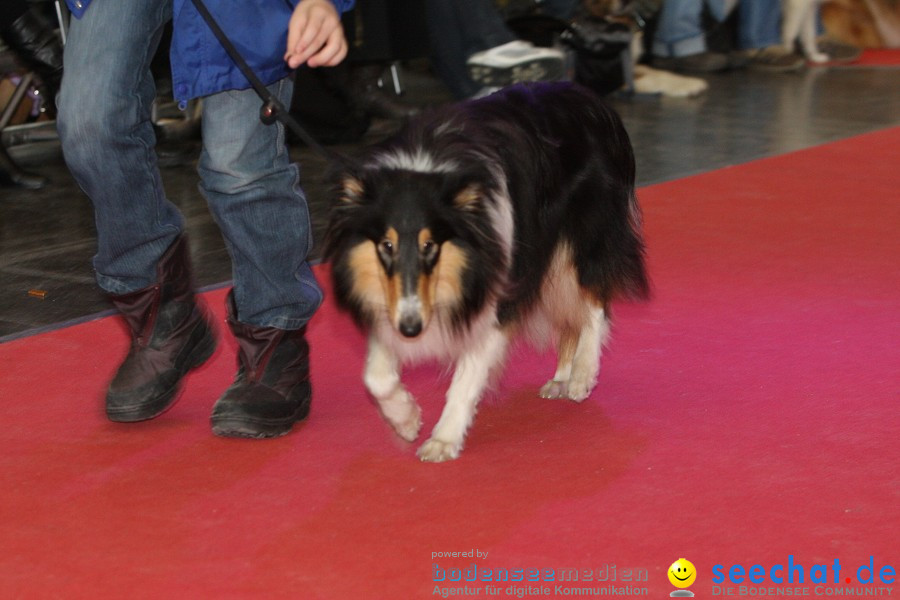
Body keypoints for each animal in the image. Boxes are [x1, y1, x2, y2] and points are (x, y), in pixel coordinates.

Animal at [324, 81, 648, 464]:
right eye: (386, 246)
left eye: (430, 245)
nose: (411, 329)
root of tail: (585, 93)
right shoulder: (391, 299)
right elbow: (376, 376)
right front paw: (406, 420)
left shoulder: (497, 292)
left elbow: (467, 377)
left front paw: (443, 440)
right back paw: (561, 378)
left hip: (584, 237)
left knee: (595, 301)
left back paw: (582, 374)